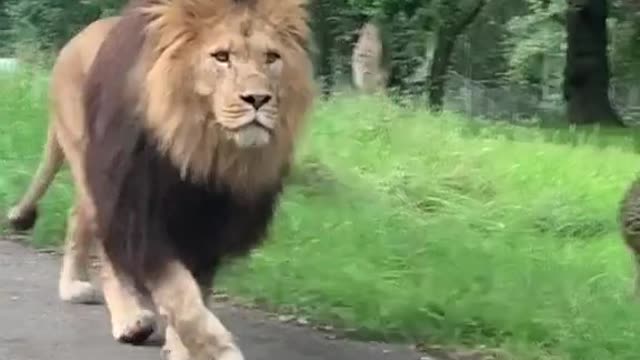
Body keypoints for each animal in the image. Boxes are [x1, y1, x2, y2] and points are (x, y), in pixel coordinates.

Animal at [6, 0, 314, 358]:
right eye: (221, 56)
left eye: (271, 57)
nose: (258, 99)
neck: (201, 148)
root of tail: (75, 40)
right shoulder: (137, 210)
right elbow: (180, 296)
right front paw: (219, 349)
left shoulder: (209, 224)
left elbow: (196, 290)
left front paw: (183, 346)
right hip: (93, 167)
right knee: (103, 246)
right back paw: (124, 316)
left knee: (78, 219)